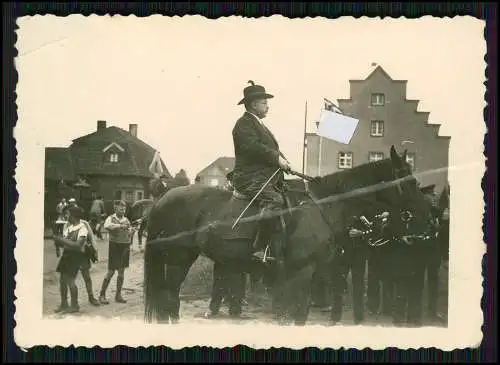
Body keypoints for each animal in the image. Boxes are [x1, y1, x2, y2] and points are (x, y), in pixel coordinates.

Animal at [143, 145, 432, 324]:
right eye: (409, 181)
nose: (428, 216)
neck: (324, 205)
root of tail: (162, 199)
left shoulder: (307, 272)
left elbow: (297, 314)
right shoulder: (302, 271)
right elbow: (297, 314)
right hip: (178, 258)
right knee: (168, 297)